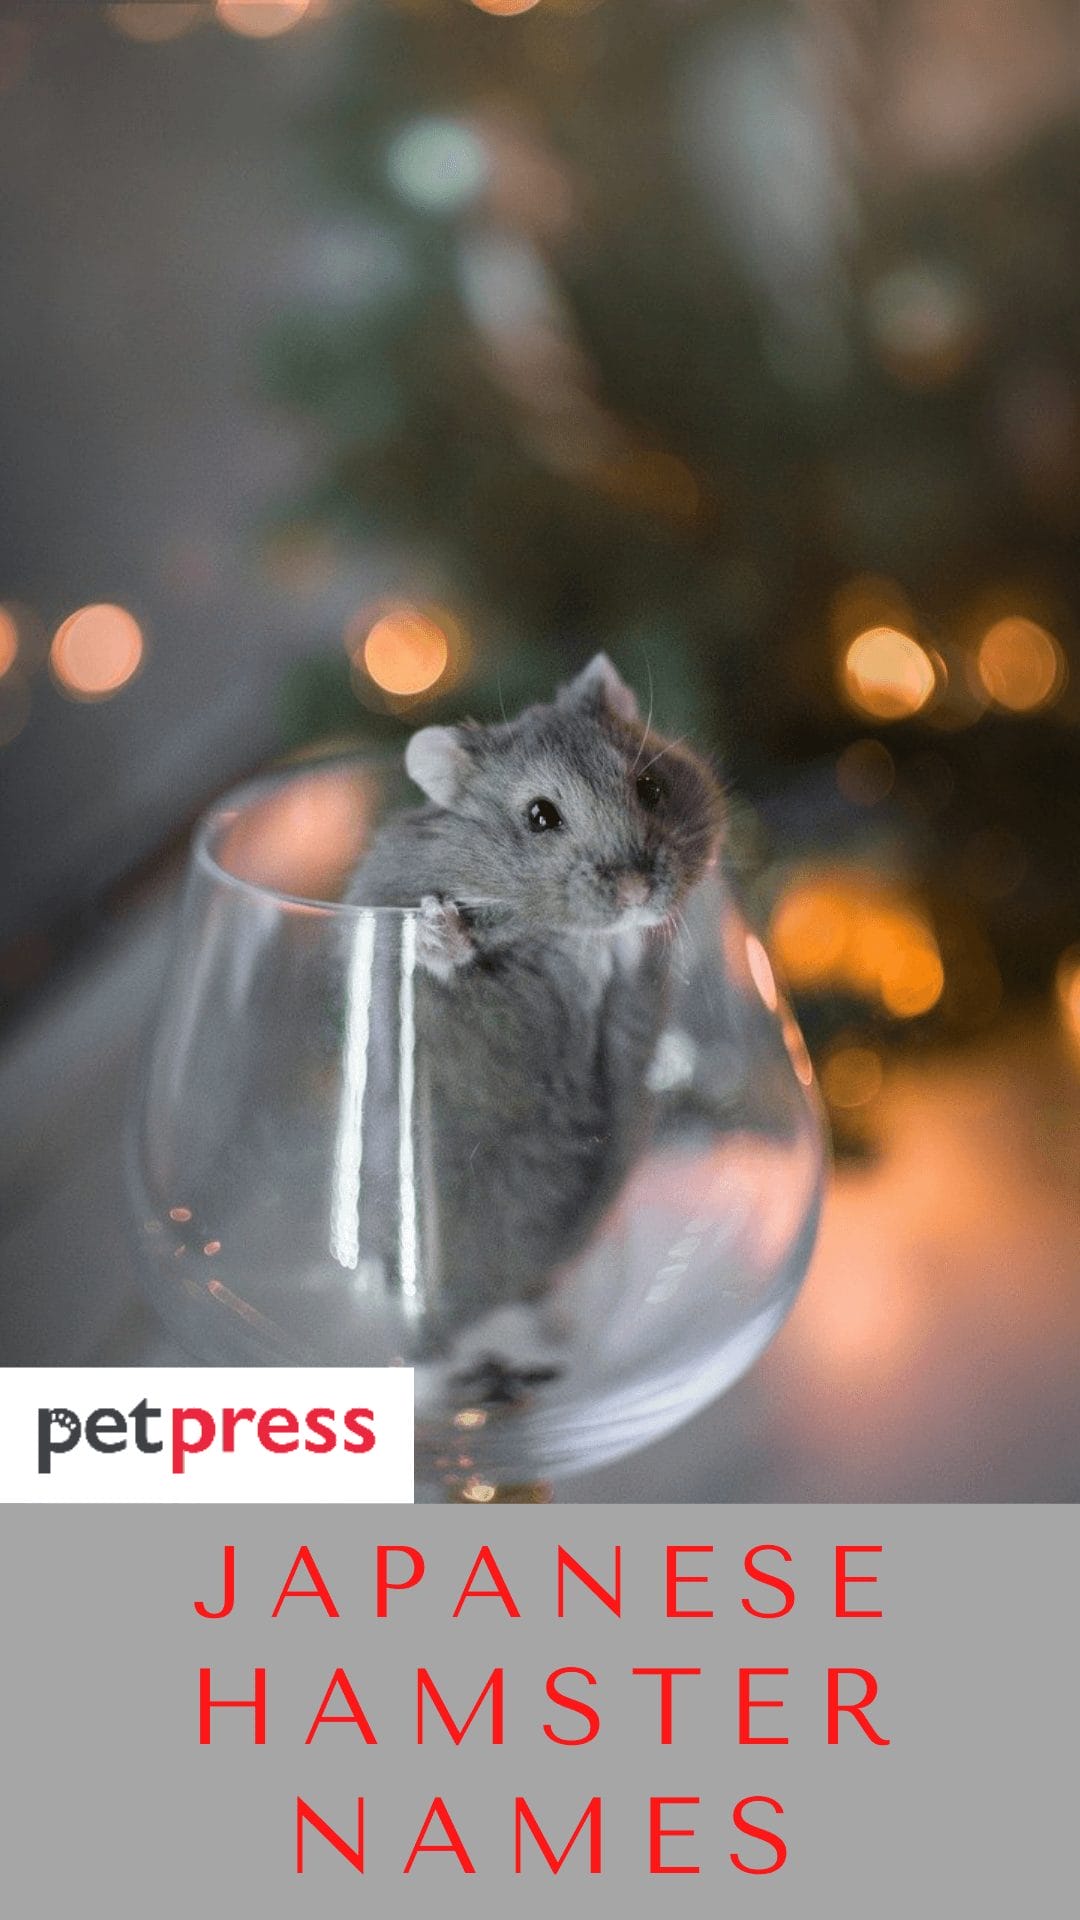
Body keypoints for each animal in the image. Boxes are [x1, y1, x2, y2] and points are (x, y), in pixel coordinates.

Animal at [346, 653, 723, 1345]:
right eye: (540, 815)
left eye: (651, 788)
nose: (636, 890)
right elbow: (447, 965)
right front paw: (439, 927)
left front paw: (641, 928)